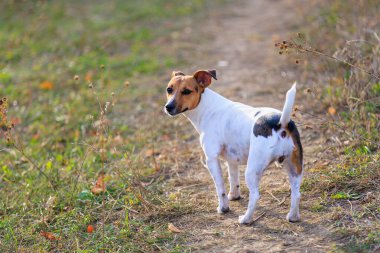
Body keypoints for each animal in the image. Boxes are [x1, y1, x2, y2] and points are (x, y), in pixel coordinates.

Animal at [163, 69, 302, 223]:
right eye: (169, 89)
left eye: (186, 91)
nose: (168, 107)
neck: (207, 107)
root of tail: (280, 123)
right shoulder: (232, 159)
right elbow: (233, 179)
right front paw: (234, 196)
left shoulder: (211, 160)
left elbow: (220, 188)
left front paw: (223, 208)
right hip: (294, 169)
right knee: (296, 193)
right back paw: (293, 217)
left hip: (252, 170)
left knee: (255, 195)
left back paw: (246, 219)